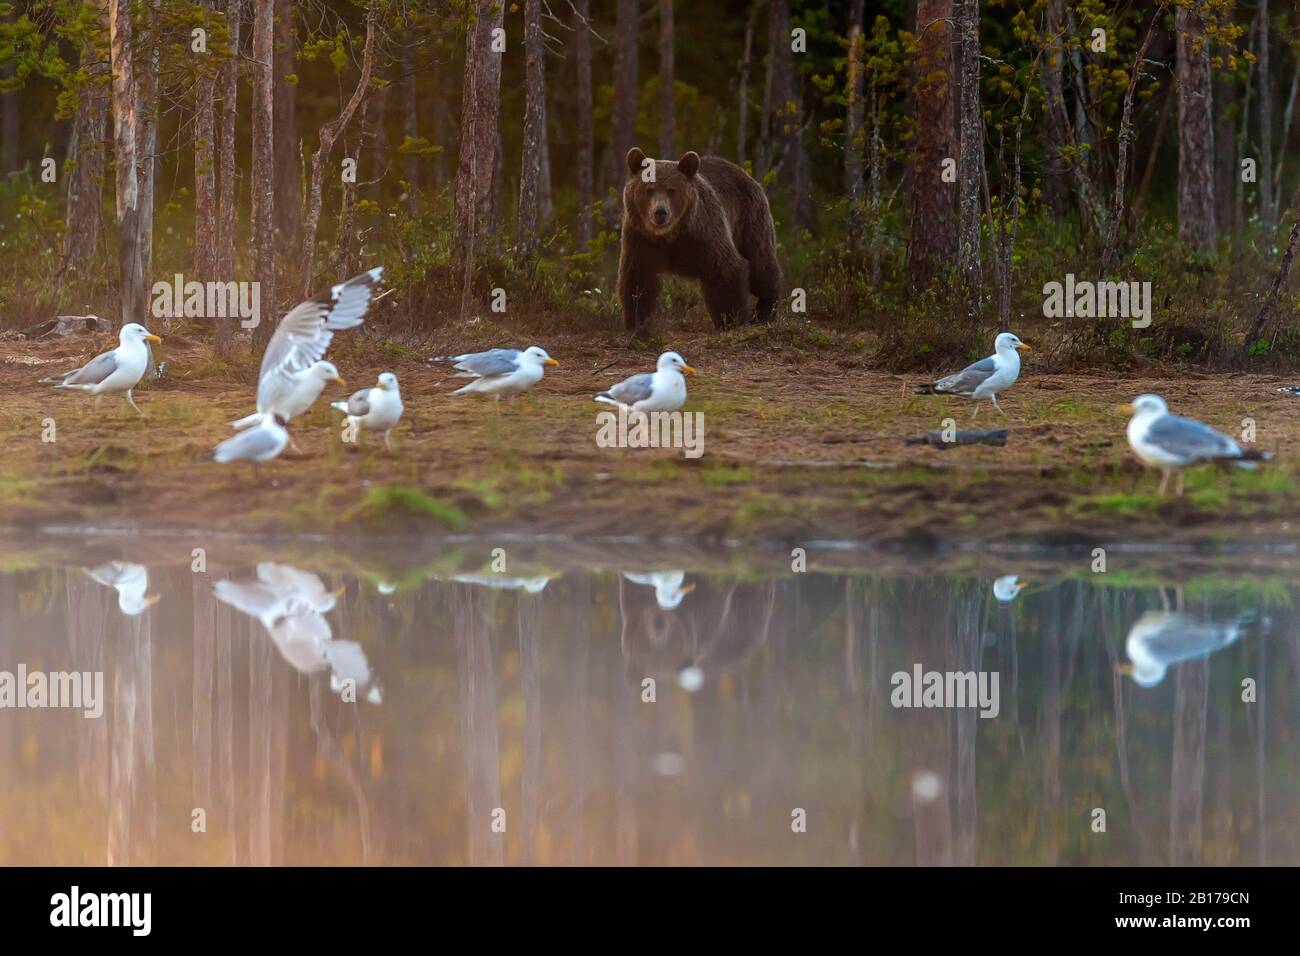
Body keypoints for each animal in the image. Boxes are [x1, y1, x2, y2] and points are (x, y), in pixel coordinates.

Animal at [613, 146, 774, 332]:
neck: (669, 235)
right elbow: (638, 279)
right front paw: (636, 324)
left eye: (671, 190)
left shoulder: (704, 234)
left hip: (749, 219)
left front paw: (731, 320)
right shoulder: (640, 238)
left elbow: (726, 269)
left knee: (761, 265)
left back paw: (765, 310)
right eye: (649, 189)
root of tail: (745, 174)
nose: (660, 212)